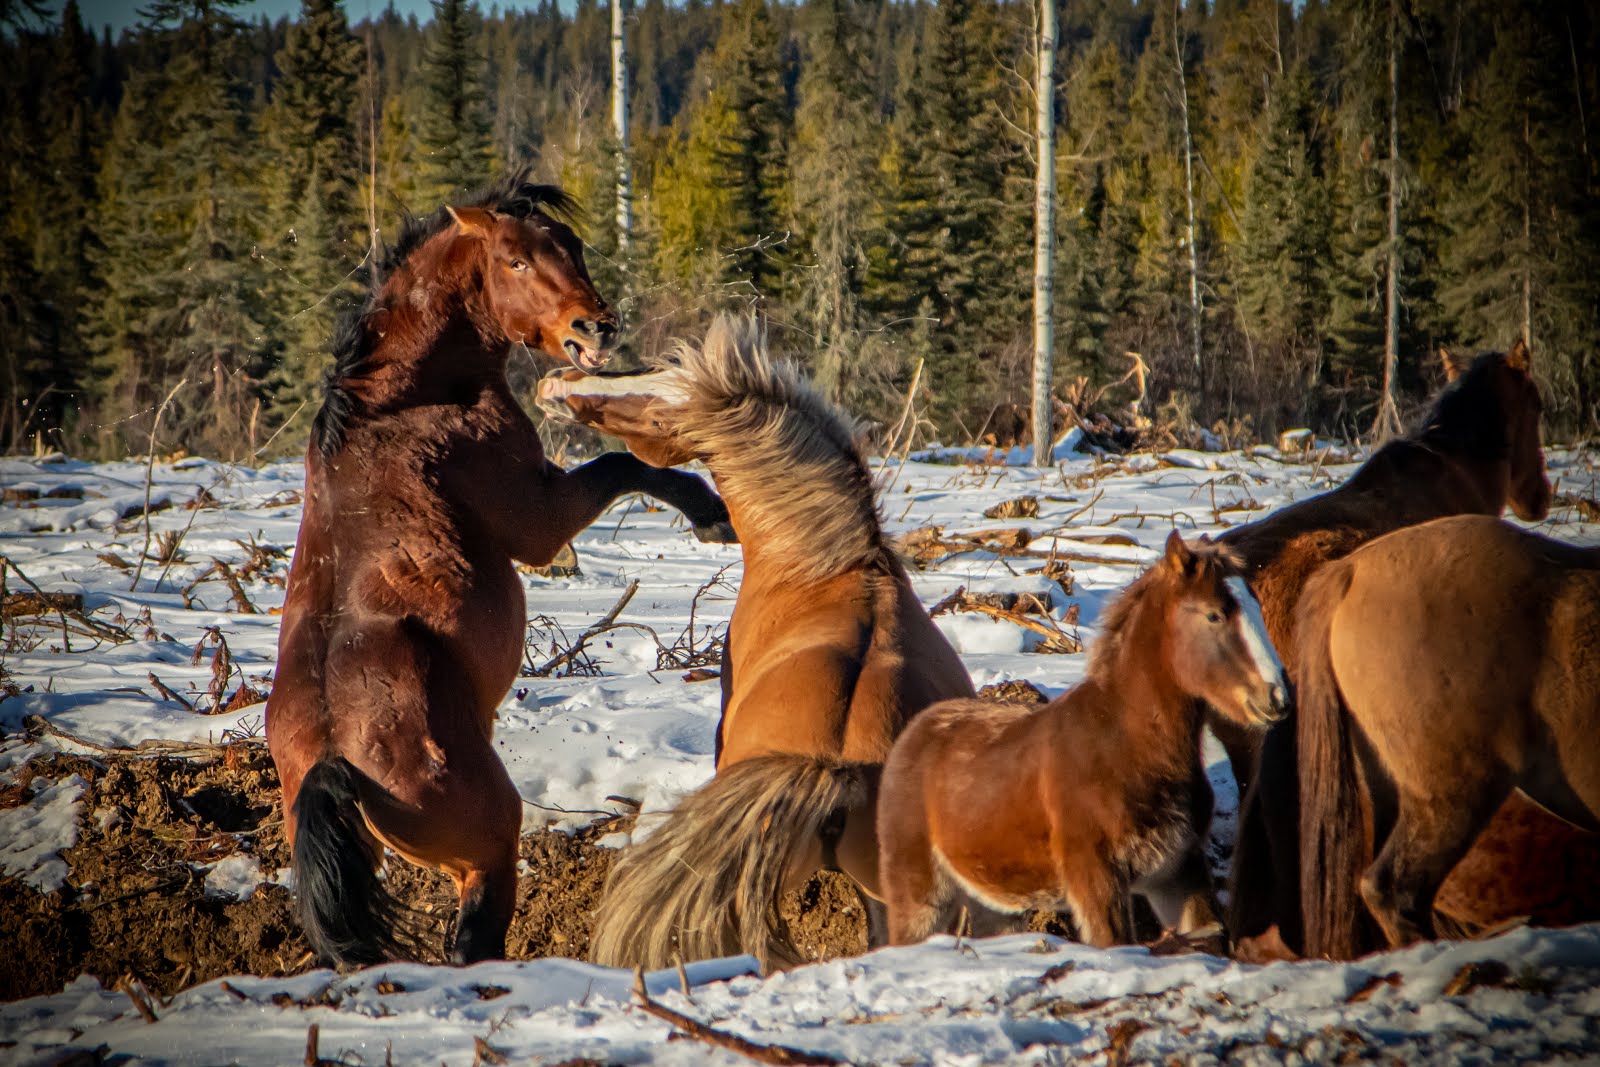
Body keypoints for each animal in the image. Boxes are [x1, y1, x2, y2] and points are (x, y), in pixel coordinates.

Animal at [264, 175, 732, 966]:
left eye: (571, 247)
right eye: (514, 260)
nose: (597, 326)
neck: (403, 399)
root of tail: (335, 760)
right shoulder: (539, 517)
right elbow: (622, 465)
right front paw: (710, 511)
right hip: (486, 845)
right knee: (473, 938)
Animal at [876, 537, 1286, 947]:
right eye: (1214, 615)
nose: (1276, 697)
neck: (1124, 745)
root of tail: (913, 734)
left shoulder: (1179, 872)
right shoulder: (1095, 878)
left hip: (994, 902)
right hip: (921, 893)